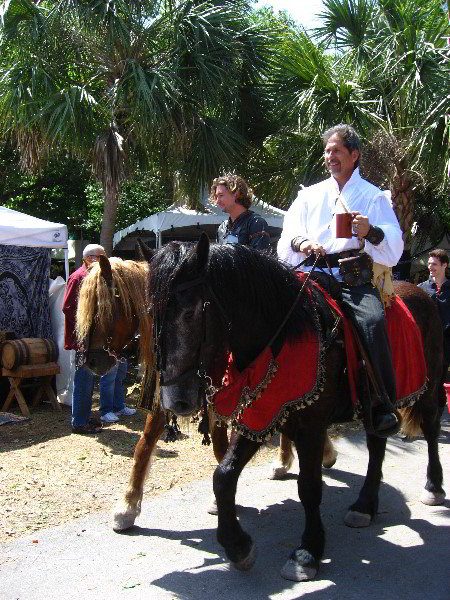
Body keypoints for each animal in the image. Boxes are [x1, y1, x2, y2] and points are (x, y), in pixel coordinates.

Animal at [142, 233, 444, 580]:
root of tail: (421, 292)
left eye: (190, 313)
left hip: (431, 385)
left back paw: (433, 486)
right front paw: (238, 546)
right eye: (150, 313)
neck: (282, 335)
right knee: (376, 442)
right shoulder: (258, 415)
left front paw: (307, 551)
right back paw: (364, 505)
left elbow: (309, 487)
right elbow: (223, 476)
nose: (175, 399)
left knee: (431, 429)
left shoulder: (311, 425)